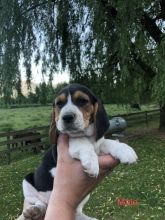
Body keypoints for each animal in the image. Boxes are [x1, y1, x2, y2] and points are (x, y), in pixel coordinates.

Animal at [17, 83, 138, 219]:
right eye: (59, 104)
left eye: (82, 100)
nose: (67, 117)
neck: (87, 136)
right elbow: (78, 140)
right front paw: (91, 161)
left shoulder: (98, 145)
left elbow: (106, 142)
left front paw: (125, 150)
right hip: (27, 182)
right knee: (40, 203)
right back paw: (35, 211)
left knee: (76, 213)